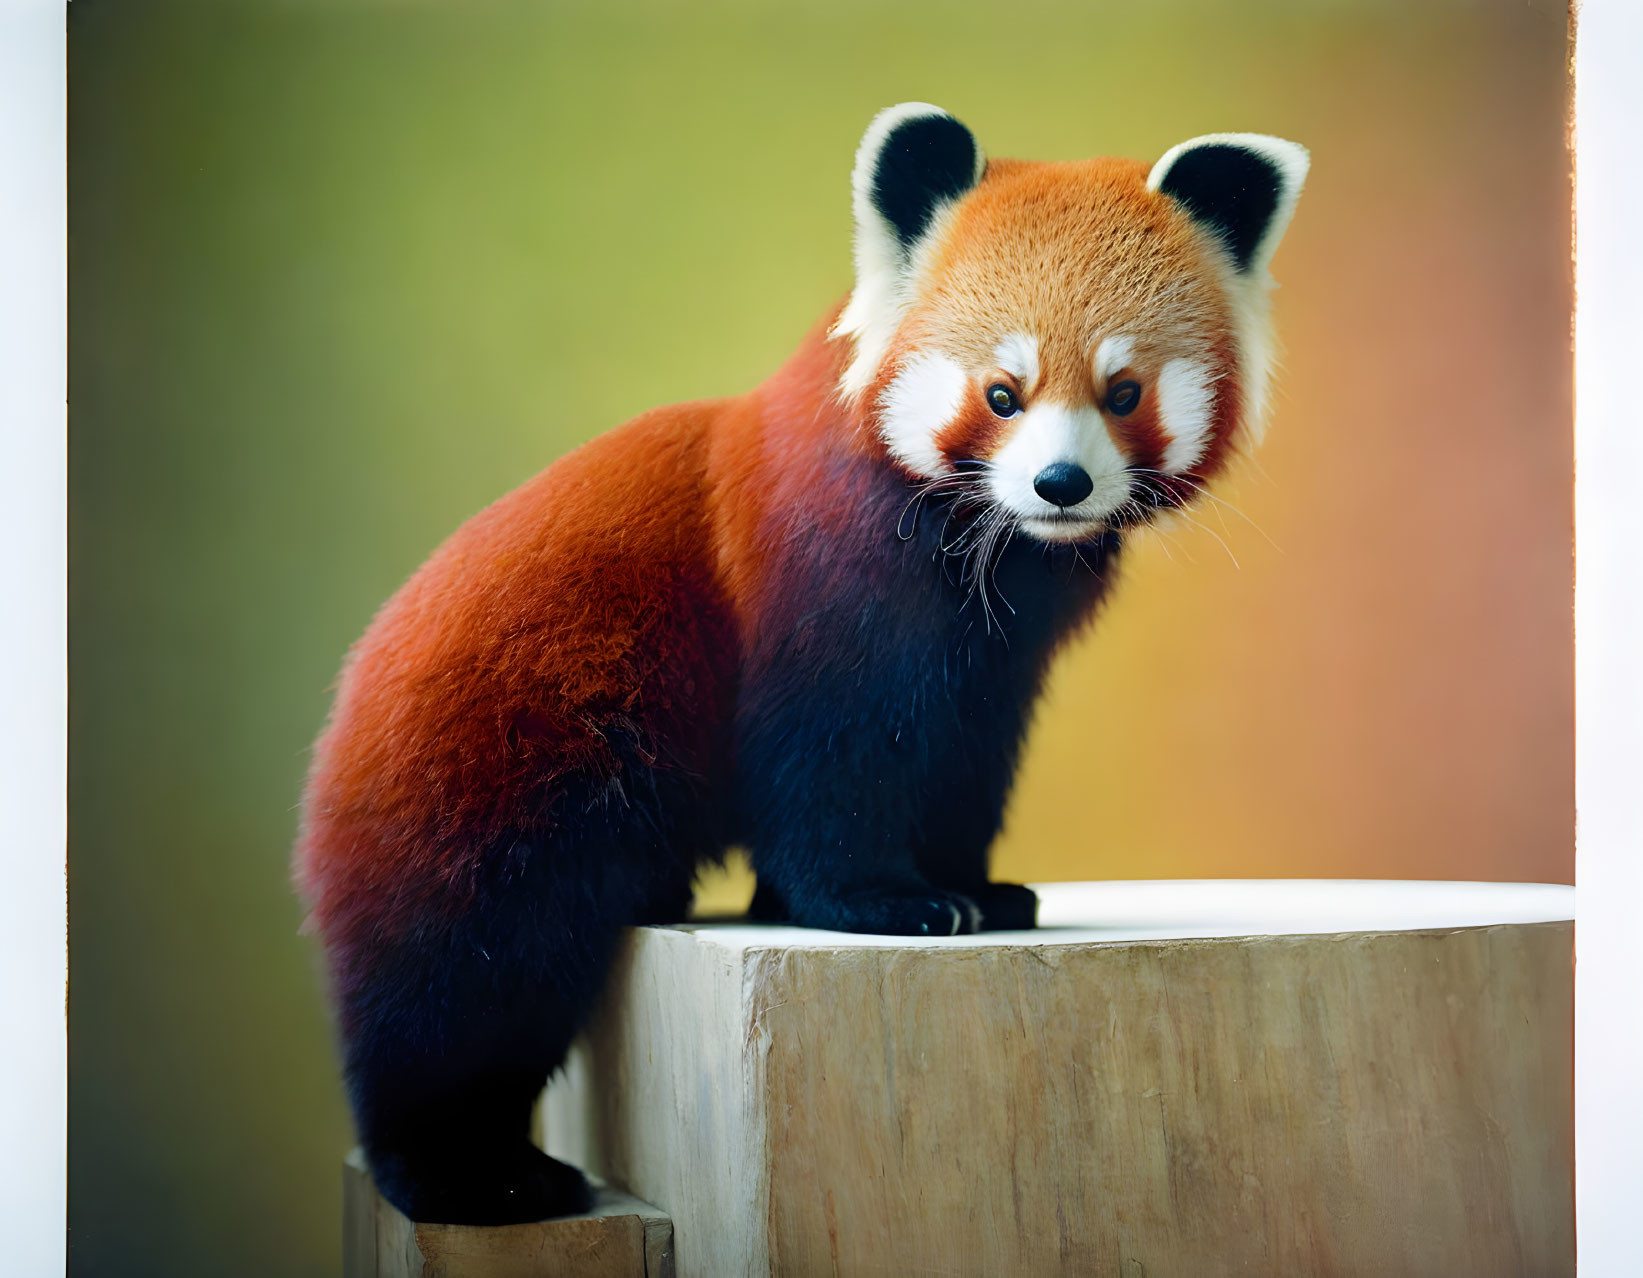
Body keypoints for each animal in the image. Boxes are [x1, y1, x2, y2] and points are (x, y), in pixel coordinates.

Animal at [295, 104, 1307, 1222]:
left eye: (1122, 391)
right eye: (1001, 394)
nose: (1059, 482)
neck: (988, 558)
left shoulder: (990, 669)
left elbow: (961, 763)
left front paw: (973, 886)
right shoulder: (814, 591)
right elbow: (829, 764)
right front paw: (880, 904)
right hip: (500, 757)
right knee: (465, 974)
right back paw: (470, 1171)